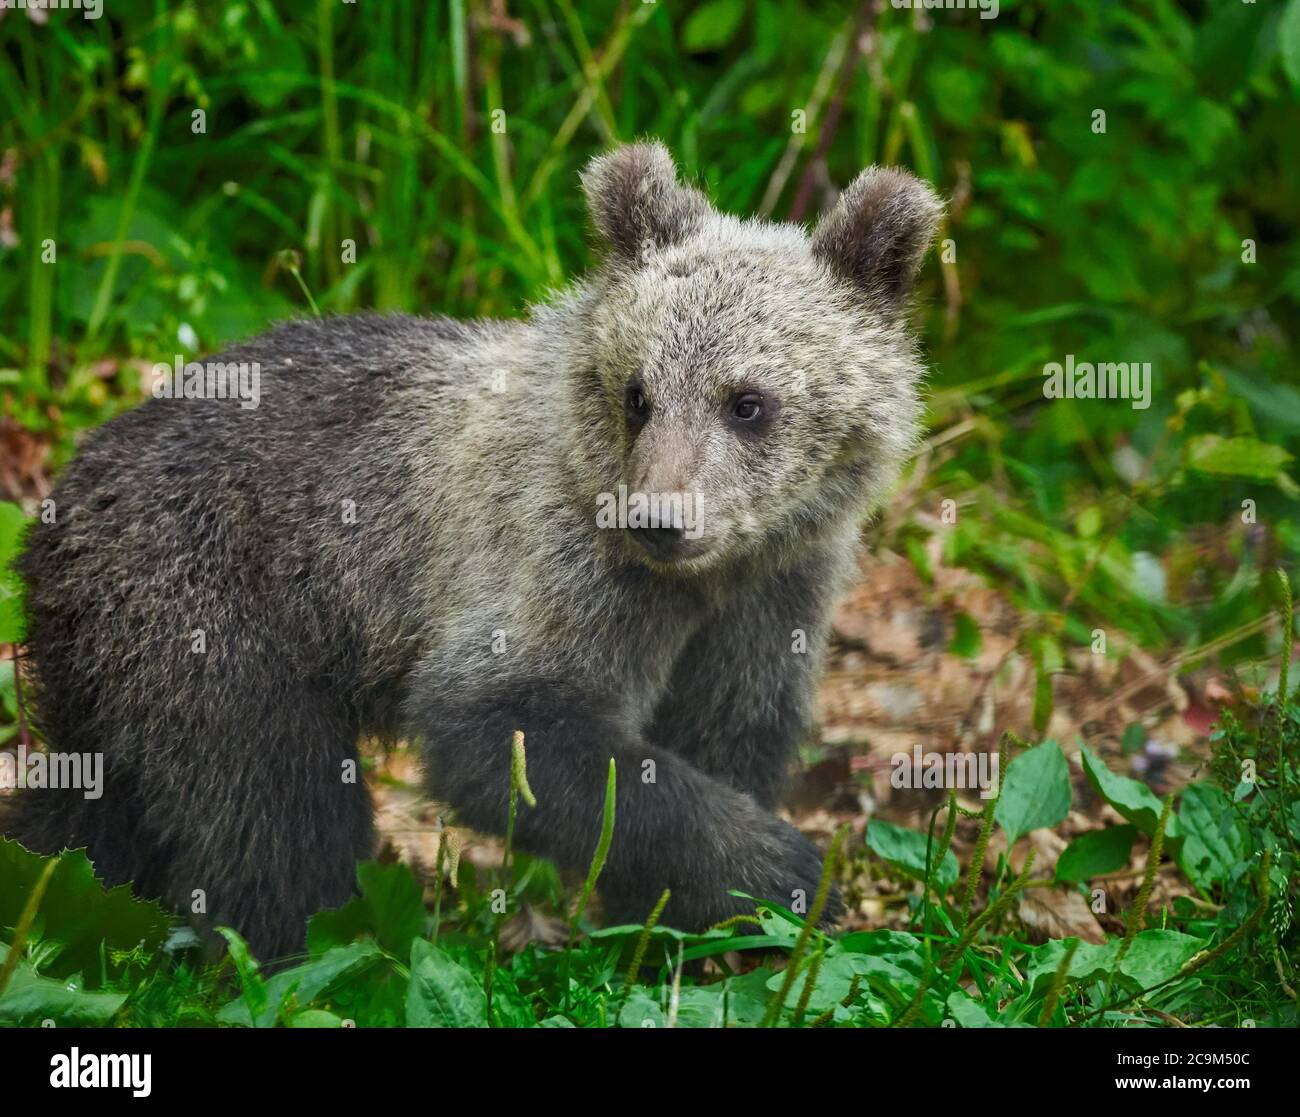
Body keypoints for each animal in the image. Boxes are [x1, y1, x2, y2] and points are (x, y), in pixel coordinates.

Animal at [5, 142, 942, 958]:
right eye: (638, 393)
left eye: (748, 401)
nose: (658, 517)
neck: (707, 574)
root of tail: (58, 503)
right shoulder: (554, 558)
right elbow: (507, 726)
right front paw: (782, 867)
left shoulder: (774, 590)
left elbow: (731, 726)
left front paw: (694, 924)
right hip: (209, 606)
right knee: (273, 805)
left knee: (105, 809)